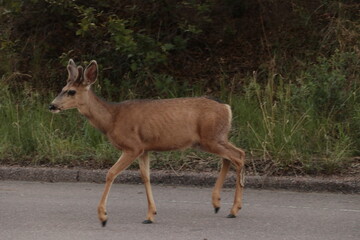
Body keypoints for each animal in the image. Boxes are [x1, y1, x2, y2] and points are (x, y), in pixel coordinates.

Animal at [49, 58, 246, 227]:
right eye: (62, 88)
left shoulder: (133, 146)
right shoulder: (144, 149)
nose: (52, 105)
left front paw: (103, 216)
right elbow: (146, 177)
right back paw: (217, 204)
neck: (112, 119)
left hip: (211, 138)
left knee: (238, 156)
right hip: (213, 138)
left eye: (71, 91)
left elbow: (111, 173)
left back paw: (233, 209)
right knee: (232, 156)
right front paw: (150, 215)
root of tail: (226, 107)